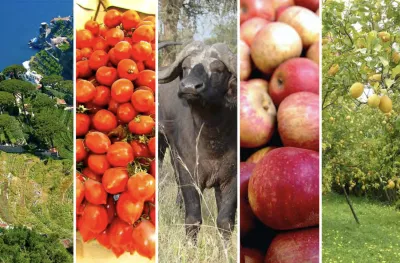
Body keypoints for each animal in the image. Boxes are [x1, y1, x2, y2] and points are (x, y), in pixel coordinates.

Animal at [158, 41, 236, 243]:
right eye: (186, 67)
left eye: (218, 69)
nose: (190, 87)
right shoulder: (188, 174)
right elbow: (193, 219)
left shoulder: (230, 178)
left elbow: (225, 221)